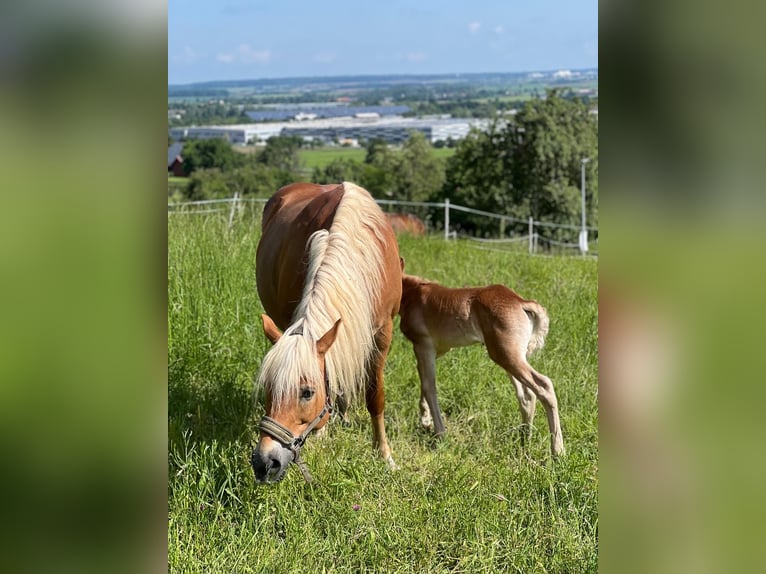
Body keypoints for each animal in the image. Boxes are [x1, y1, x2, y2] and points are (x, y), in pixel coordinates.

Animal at [252, 182, 404, 484]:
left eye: (307, 392)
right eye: (268, 387)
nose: (264, 463)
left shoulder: (383, 333)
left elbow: (375, 396)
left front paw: (384, 454)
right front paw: (321, 431)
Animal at [400, 274, 568, 460]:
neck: (414, 291)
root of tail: (522, 302)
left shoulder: (423, 346)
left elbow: (429, 386)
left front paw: (438, 435)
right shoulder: (439, 350)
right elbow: (424, 381)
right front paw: (425, 421)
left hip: (505, 355)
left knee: (543, 385)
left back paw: (557, 451)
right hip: (511, 356)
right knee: (527, 395)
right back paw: (525, 438)